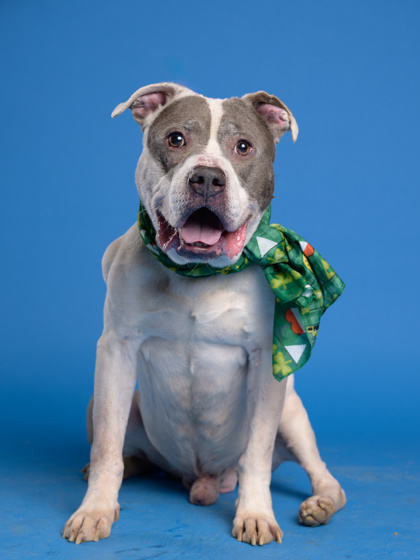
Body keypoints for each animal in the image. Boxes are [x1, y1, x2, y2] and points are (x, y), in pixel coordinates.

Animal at [63, 83, 346, 546]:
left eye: (243, 147)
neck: (199, 275)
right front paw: (95, 509)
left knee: (325, 477)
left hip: (292, 415)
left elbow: (256, 454)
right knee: (129, 452)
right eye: (176, 138)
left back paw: (319, 504)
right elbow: (106, 448)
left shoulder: (267, 364)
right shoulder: (116, 350)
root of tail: (203, 479)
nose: (208, 178)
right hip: (112, 404)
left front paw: (255, 514)